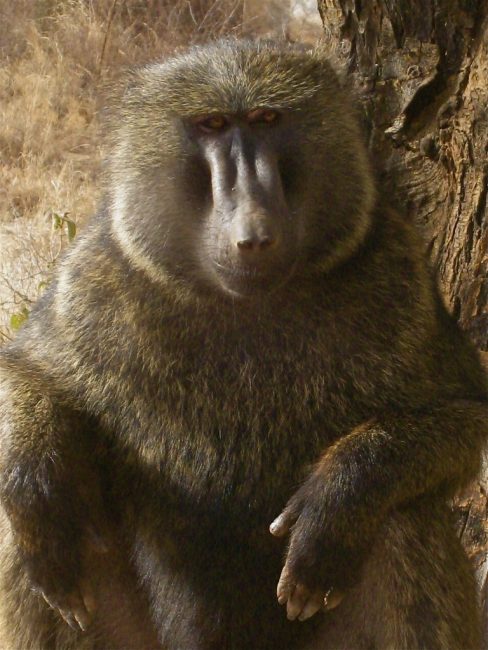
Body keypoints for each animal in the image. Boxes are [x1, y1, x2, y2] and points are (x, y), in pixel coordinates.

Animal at [0, 38, 486, 650]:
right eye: (211, 124)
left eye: (266, 120)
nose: (253, 232)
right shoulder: (93, 277)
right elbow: (29, 371)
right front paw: (34, 487)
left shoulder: (401, 272)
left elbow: (464, 416)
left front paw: (338, 501)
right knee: (29, 542)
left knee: (406, 523)